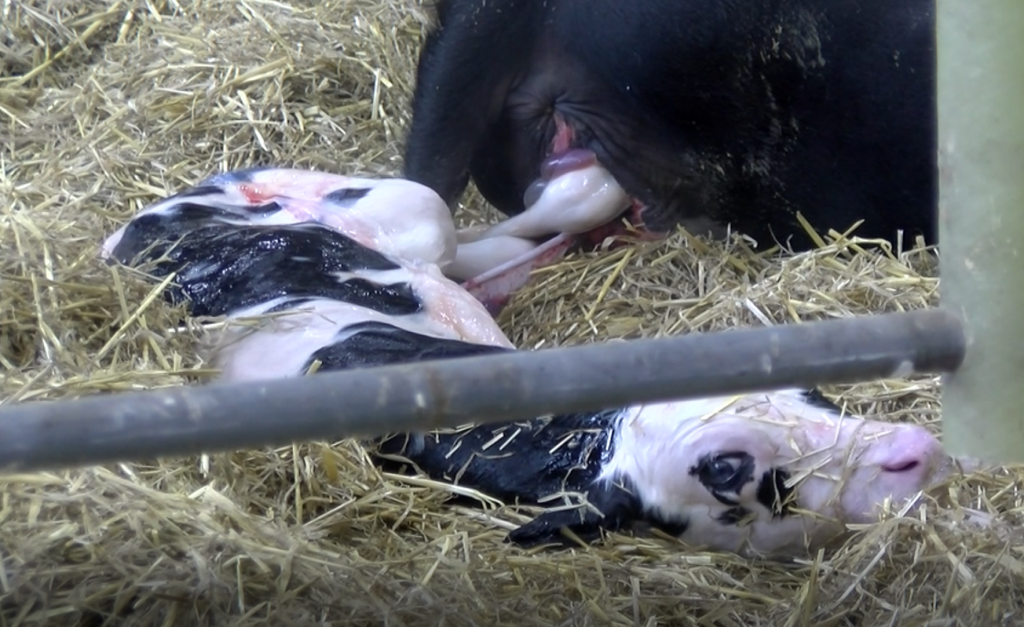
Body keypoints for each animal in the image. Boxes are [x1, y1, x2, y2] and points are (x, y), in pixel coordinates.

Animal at [101, 169, 950, 557]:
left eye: (806, 388)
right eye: (726, 468)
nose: (917, 449)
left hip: (406, 223)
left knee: (489, 236)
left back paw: (596, 196)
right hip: (394, 212)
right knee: (471, 230)